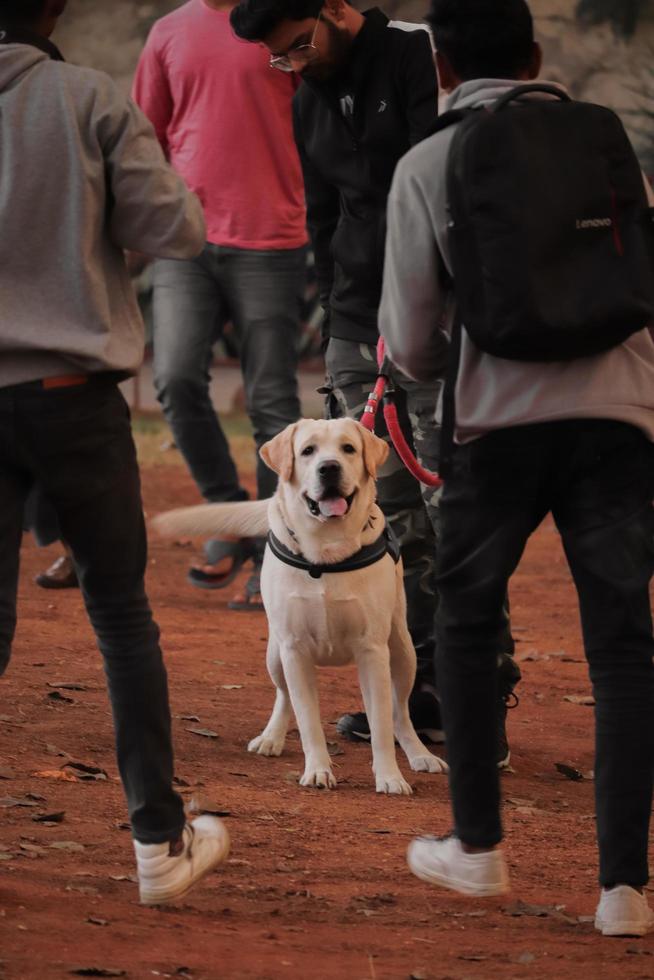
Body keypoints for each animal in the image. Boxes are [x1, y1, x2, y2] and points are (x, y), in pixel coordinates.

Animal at [156, 418, 448, 792]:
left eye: (348, 448)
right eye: (308, 451)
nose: (329, 468)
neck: (326, 550)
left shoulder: (372, 650)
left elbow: (383, 724)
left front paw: (389, 777)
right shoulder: (294, 649)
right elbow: (307, 719)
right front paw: (318, 770)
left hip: (402, 651)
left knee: (400, 711)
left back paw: (419, 754)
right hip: (275, 654)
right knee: (284, 697)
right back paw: (271, 738)